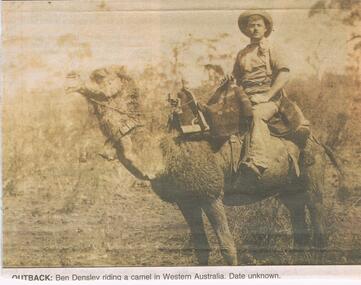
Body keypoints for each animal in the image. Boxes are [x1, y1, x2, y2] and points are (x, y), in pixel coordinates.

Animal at [66, 66, 344, 264]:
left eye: (99, 75)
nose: (69, 78)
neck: (164, 153)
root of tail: (316, 136)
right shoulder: (186, 200)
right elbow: (202, 249)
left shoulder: (211, 194)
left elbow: (228, 248)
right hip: (288, 188)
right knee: (298, 222)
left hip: (312, 175)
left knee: (318, 221)